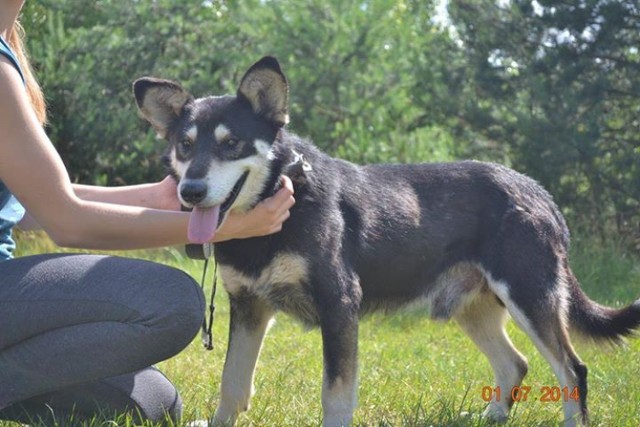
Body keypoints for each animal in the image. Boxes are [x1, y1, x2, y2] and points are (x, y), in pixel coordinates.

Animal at [131, 57, 640, 427]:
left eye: (231, 143)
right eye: (184, 145)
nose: (190, 192)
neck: (282, 204)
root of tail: (539, 192)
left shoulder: (339, 306)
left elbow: (335, 394)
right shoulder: (249, 307)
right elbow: (232, 384)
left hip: (529, 297)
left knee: (571, 370)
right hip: (473, 307)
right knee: (515, 364)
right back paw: (489, 416)